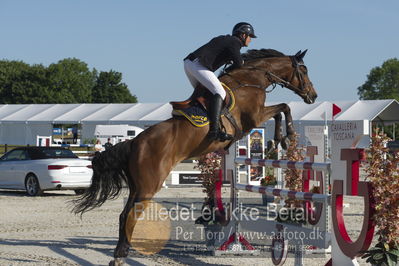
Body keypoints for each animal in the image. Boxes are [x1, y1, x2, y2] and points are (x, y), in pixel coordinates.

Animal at [72, 48, 318, 264]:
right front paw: (287, 136)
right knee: (130, 215)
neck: (252, 78)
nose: (313, 96)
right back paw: (121, 254)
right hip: (149, 185)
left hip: (137, 186)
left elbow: (281, 110)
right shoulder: (255, 117)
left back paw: (121, 252)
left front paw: (281, 139)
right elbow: (283, 108)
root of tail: (134, 142)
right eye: (304, 70)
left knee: (125, 215)